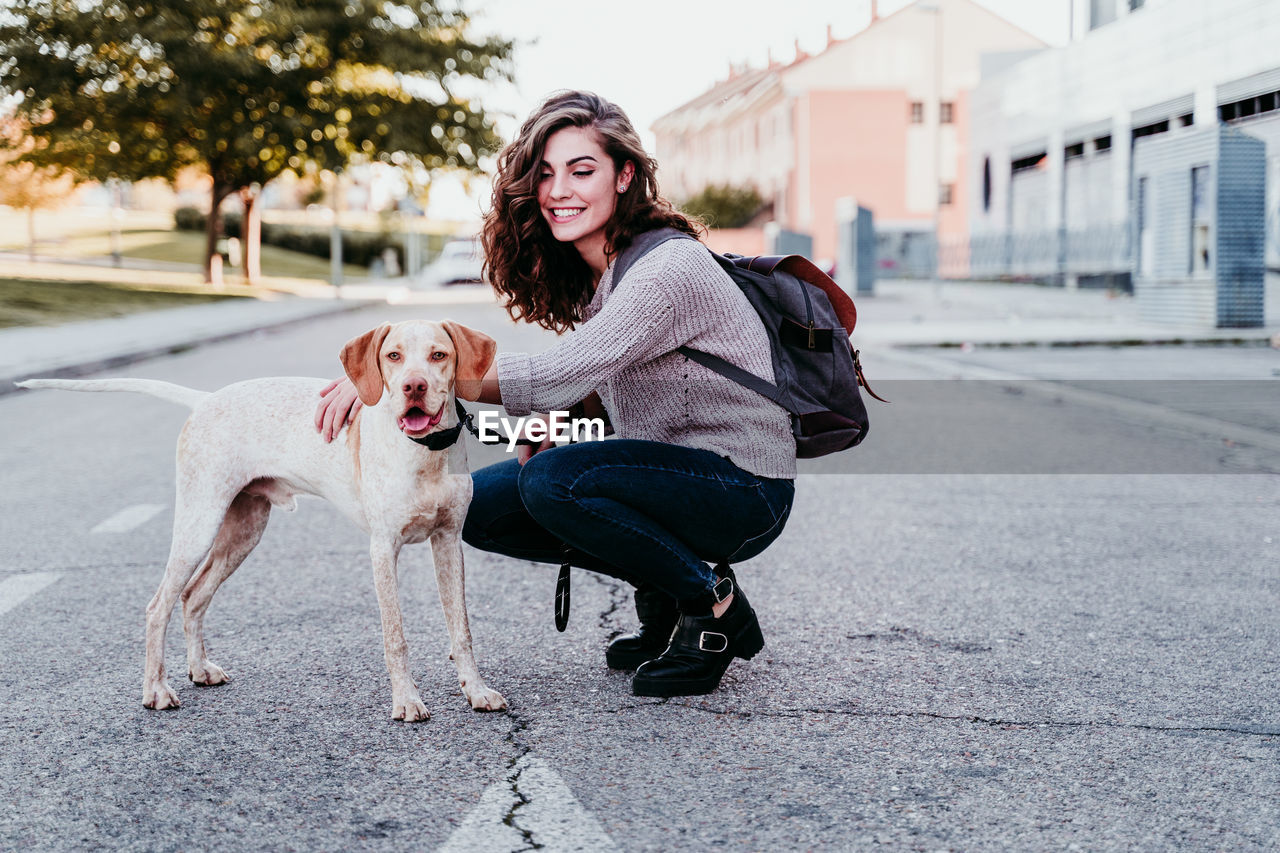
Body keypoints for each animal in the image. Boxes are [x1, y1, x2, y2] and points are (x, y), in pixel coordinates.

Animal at [17, 318, 504, 717]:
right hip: (199, 523)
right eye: (393, 357)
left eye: (439, 356)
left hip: (244, 531)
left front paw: (476, 691)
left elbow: (461, 629)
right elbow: (396, 636)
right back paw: (155, 690)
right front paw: (406, 700)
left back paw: (199, 669)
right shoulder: (383, 549)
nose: (413, 388)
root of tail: (206, 400)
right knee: (159, 605)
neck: (425, 454)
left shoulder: (448, 542)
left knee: (193, 596)